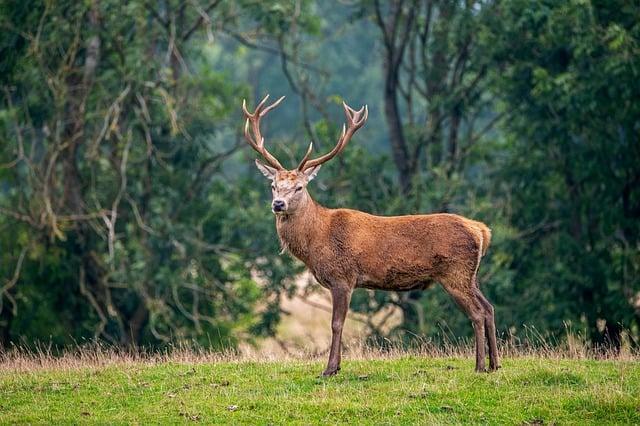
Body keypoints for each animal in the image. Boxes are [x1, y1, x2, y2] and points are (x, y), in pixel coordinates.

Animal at [242, 94, 498, 376]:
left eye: (299, 187)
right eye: (273, 185)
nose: (278, 204)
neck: (315, 242)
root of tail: (482, 231)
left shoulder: (342, 277)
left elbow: (336, 324)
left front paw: (330, 369)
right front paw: (335, 366)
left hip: (455, 272)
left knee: (477, 312)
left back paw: (480, 365)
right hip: (470, 275)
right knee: (489, 307)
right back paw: (495, 363)